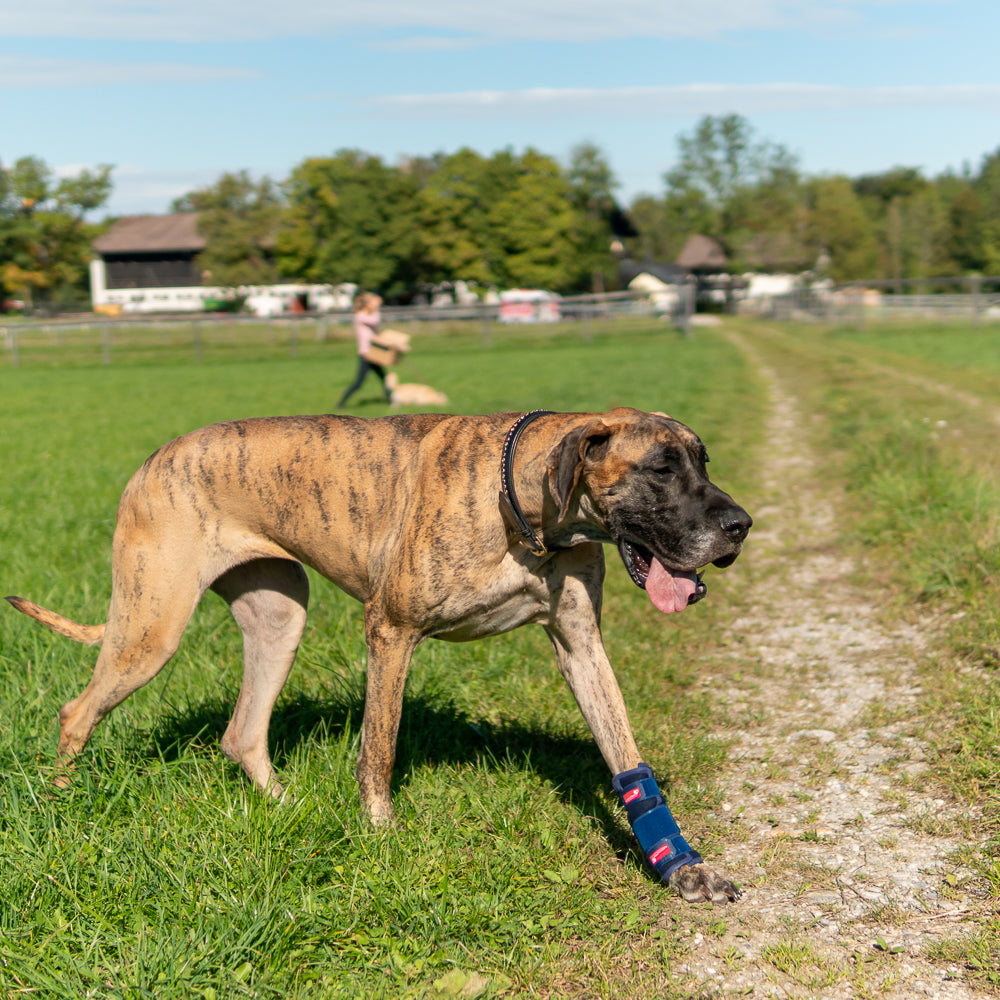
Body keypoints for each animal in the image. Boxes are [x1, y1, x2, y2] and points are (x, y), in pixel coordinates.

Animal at [9, 408, 752, 908]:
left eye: (705, 462)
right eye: (660, 470)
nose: (740, 526)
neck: (527, 507)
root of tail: (149, 461)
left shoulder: (581, 646)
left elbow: (628, 759)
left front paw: (684, 867)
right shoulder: (391, 632)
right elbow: (380, 747)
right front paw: (381, 836)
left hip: (279, 616)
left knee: (241, 733)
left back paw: (289, 806)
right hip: (151, 624)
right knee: (77, 711)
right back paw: (62, 799)